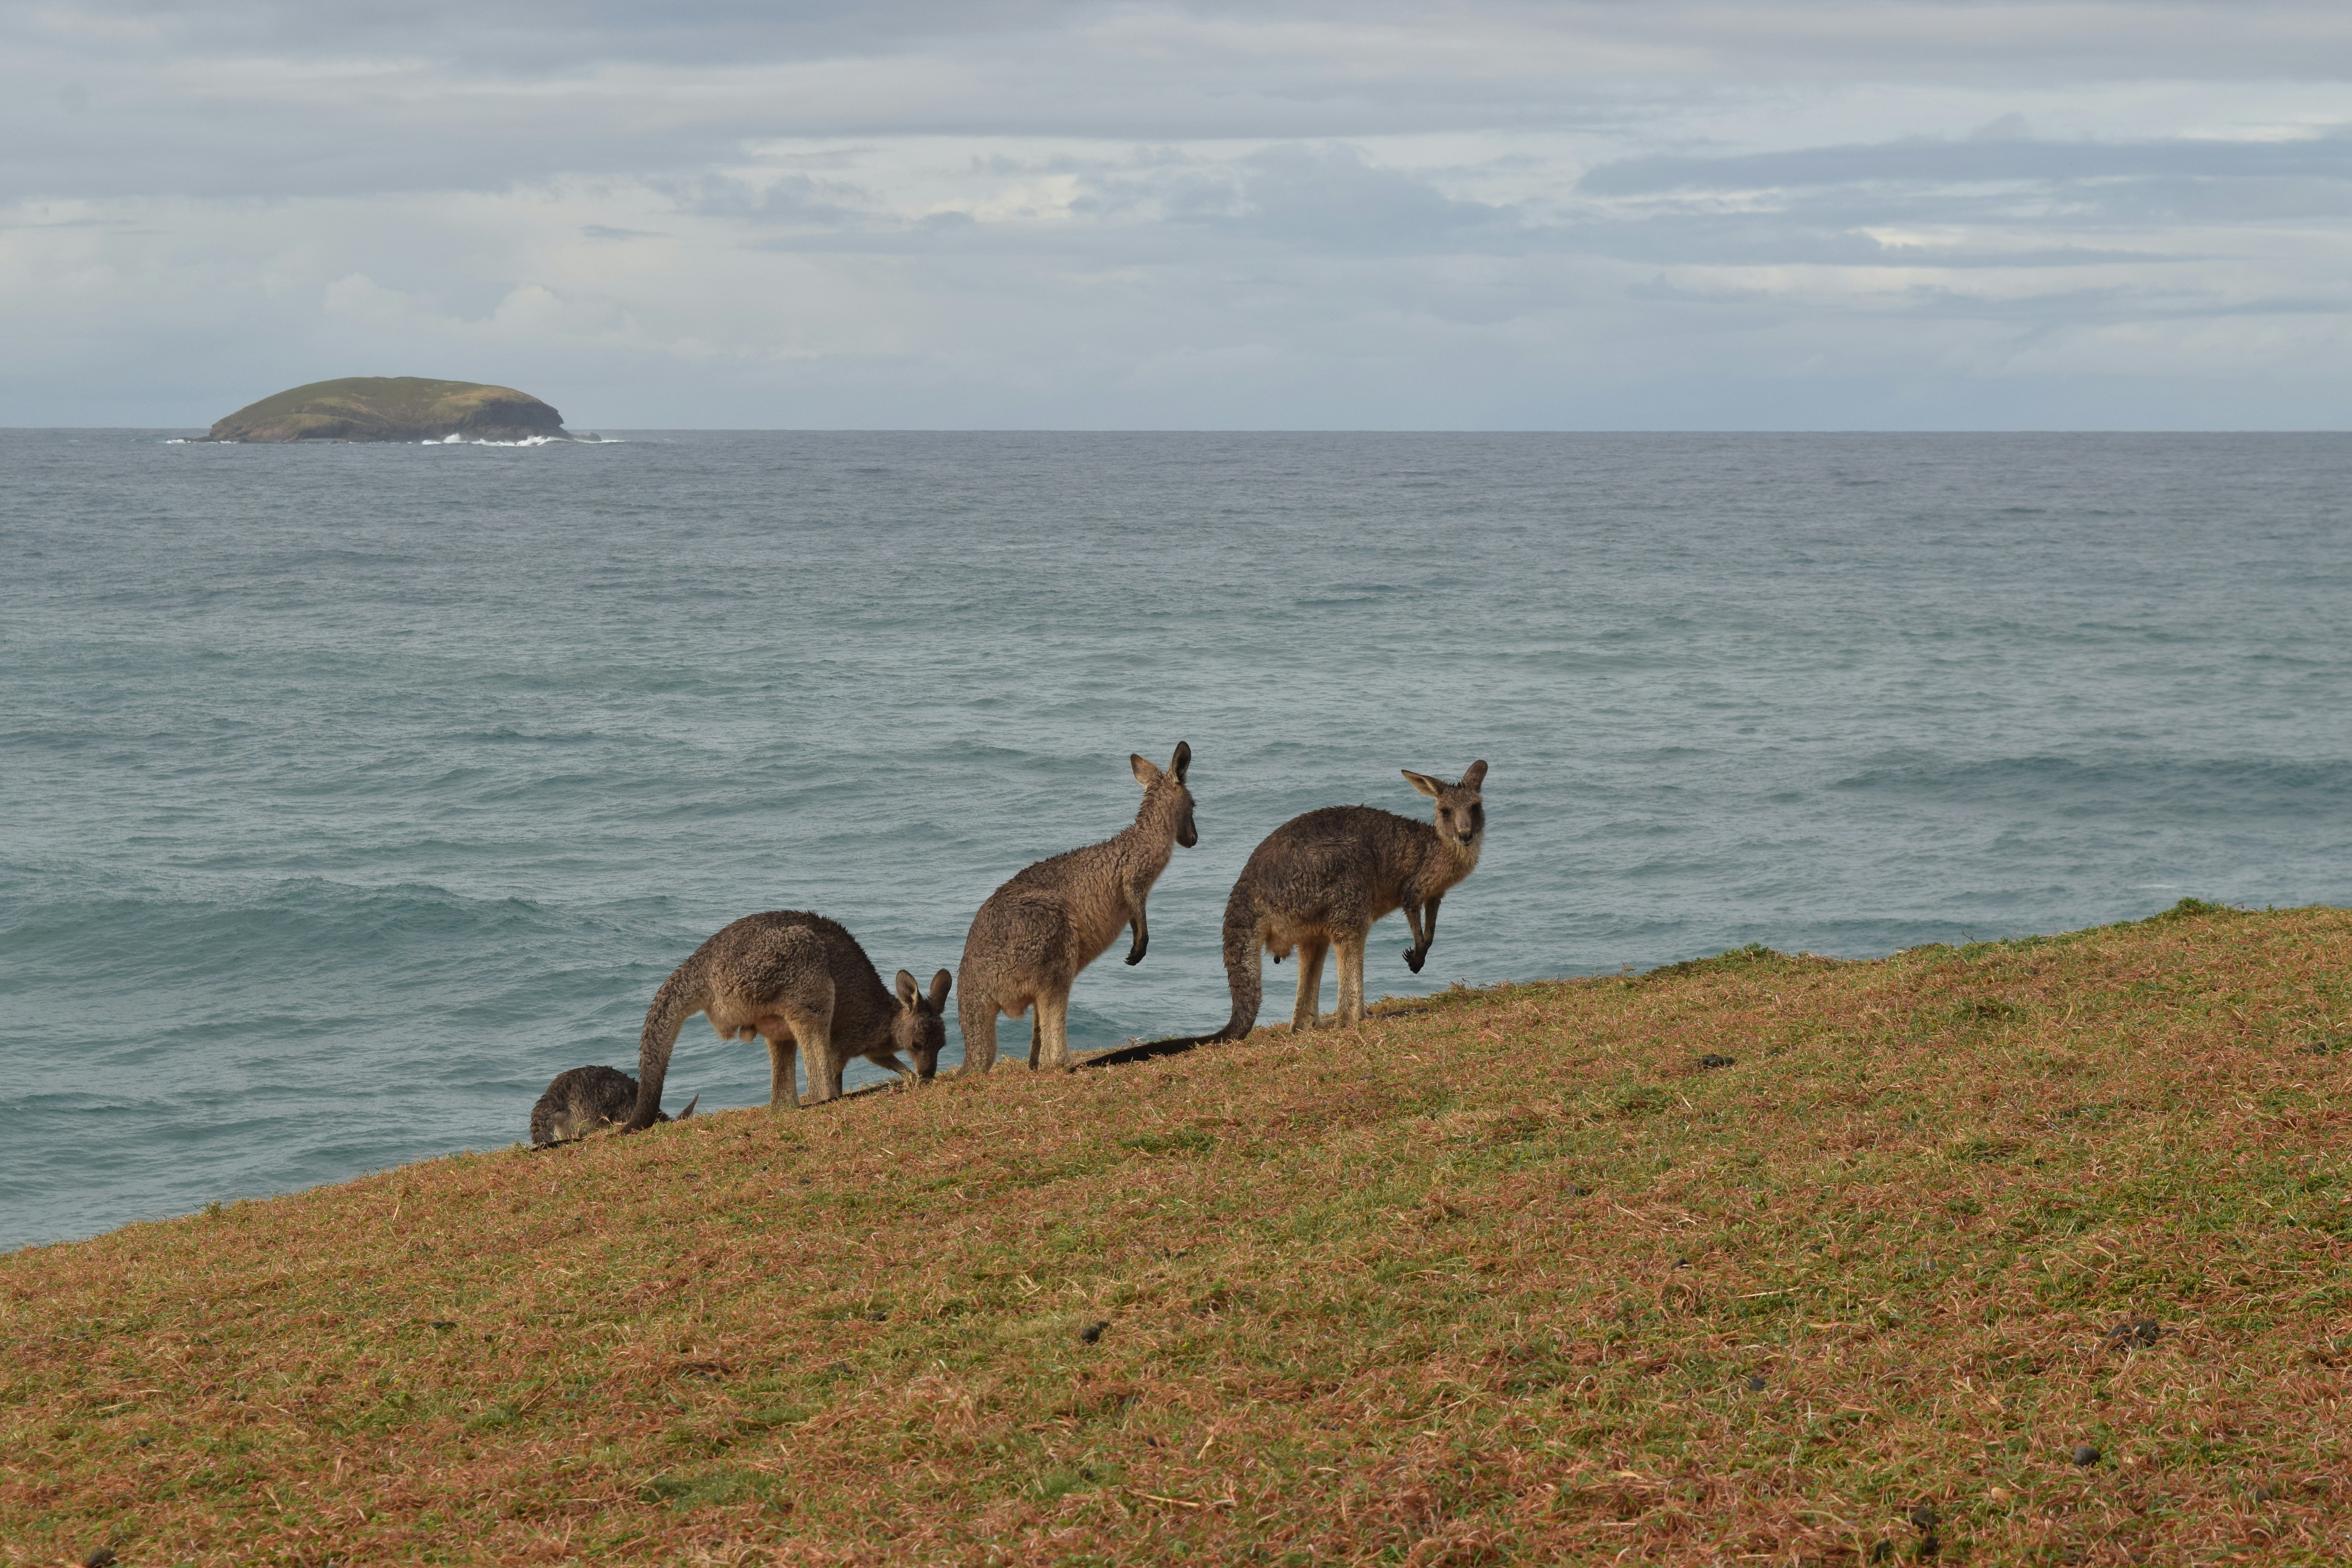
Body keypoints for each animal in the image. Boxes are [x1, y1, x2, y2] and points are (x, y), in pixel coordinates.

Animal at [625, 911, 952, 1129]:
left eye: (942, 1046)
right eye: (917, 1043)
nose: (928, 1075)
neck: (888, 1019)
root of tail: (701, 963)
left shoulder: (875, 1047)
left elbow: (885, 1061)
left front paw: (908, 1076)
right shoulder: (854, 1038)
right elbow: (840, 1062)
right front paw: (907, 1078)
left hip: (775, 1013)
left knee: (782, 1096)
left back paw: (792, 1107)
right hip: (799, 970)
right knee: (818, 1082)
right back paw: (830, 1100)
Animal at [957, 742, 1198, 1074]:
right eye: (1194, 806)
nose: (1194, 840)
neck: (1145, 838)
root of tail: (974, 988)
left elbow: (1135, 914)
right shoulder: (1134, 877)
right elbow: (1137, 907)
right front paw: (1139, 948)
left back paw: (1037, 1064)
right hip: (1051, 934)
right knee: (1053, 1009)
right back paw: (1065, 1065)